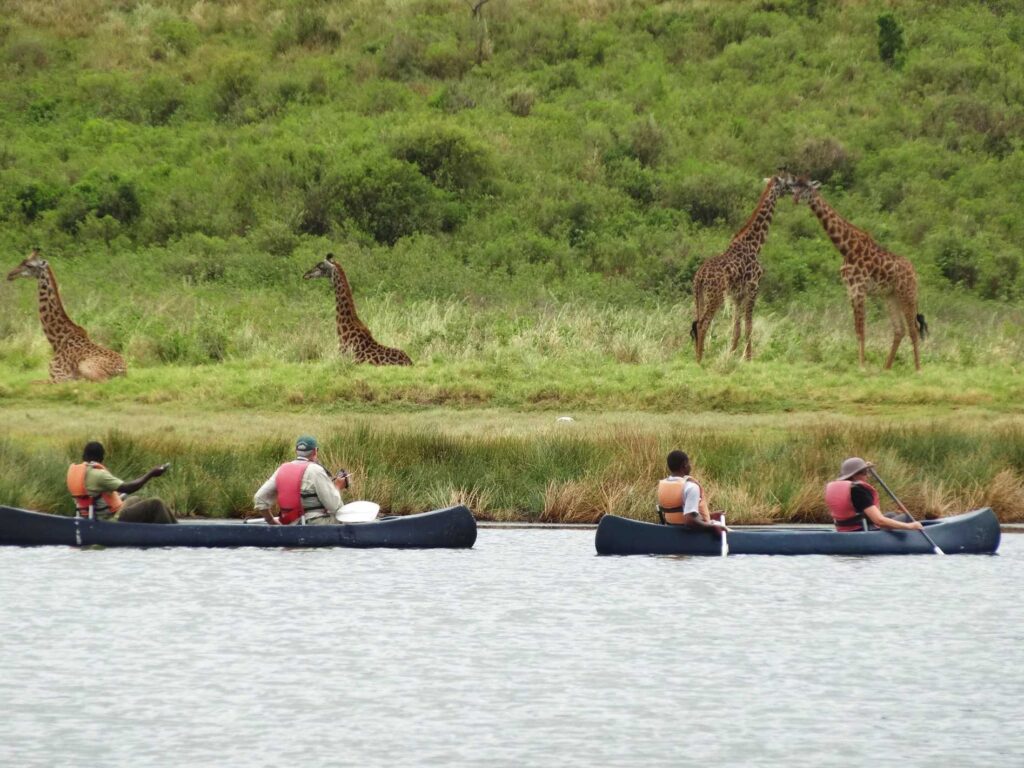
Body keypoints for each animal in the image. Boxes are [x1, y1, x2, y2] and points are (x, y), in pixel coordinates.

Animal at [6, 249, 126, 382]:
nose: (10, 274)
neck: (57, 342)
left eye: (29, 265)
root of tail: (122, 370)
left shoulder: (59, 377)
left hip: (87, 367)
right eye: (22, 261)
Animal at [690, 174, 793, 362]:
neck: (755, 244)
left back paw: (697, 356)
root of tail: (699, 277)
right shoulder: (753, 288)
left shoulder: (736, 295)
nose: (791, 190)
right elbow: (749, 326)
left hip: (699, 295)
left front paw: (731, 355)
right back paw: (700, 360)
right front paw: (748, 358)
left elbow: (736, 328)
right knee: (702, 324)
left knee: (696, 322)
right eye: (786, 183)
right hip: (715, 296)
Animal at [790, 177, 927, 370]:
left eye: (807, 188)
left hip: (907, 294)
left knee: (913, 329)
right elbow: (857, 330)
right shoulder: (851, 289)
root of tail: (915, 273)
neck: (846, 248)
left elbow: (861, 330)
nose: (794, 199)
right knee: (899, 330)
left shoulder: (859, 289)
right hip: (891, 296)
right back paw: (886, 368)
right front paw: (861, 364)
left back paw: (918, 369)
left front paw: (861, 366)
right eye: (795, 187)